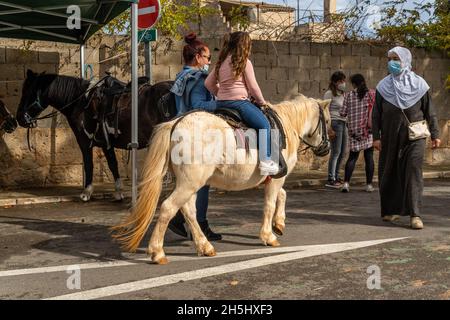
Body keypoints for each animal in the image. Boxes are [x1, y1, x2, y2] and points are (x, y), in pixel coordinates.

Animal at [16, 69, 174, 200]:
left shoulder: (85, 141)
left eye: (28, 92)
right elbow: (113, 164)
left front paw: (87, 192)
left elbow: (89, 164)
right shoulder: (106, 143)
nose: (19, 118)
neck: (81, 102)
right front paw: (118, 192)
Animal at [112, 95, 330, 264]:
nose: (326, 148)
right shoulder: (276, 178)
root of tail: (176, 124)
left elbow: (282, 196)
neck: (287, 124)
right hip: (190, 183)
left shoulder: (273, 178)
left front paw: (279, 223)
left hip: (191, 183)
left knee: (189, 210)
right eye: (327, 121)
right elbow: (270, 204)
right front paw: (269, 235)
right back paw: (157, 252)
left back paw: (204, 246)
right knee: (168, 208)